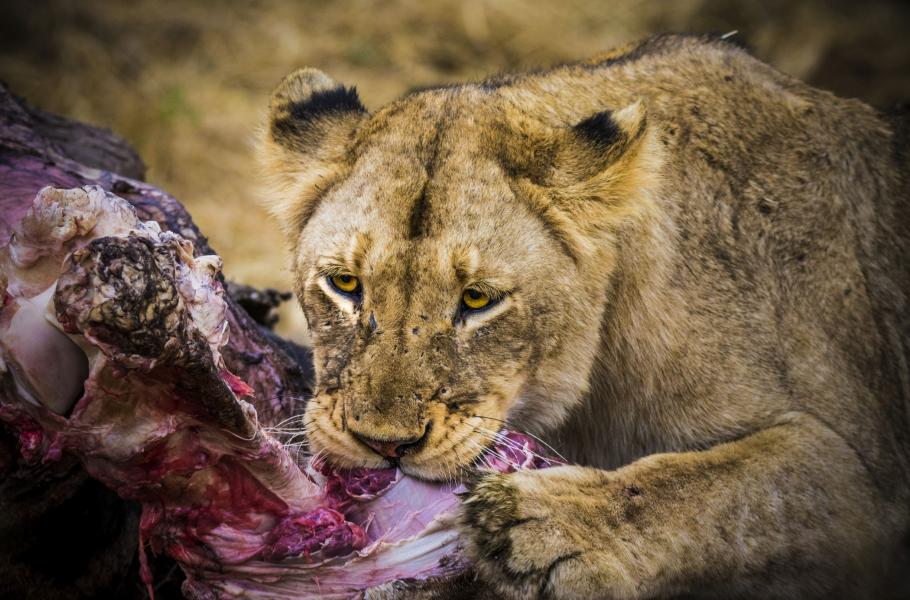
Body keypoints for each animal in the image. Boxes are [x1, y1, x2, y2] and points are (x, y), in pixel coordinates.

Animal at [258, 33, 910, 599]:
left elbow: (718, 485)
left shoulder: (864, 479)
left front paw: (536, 522)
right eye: (345, 284)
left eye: (477, 300)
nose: (383, 444)